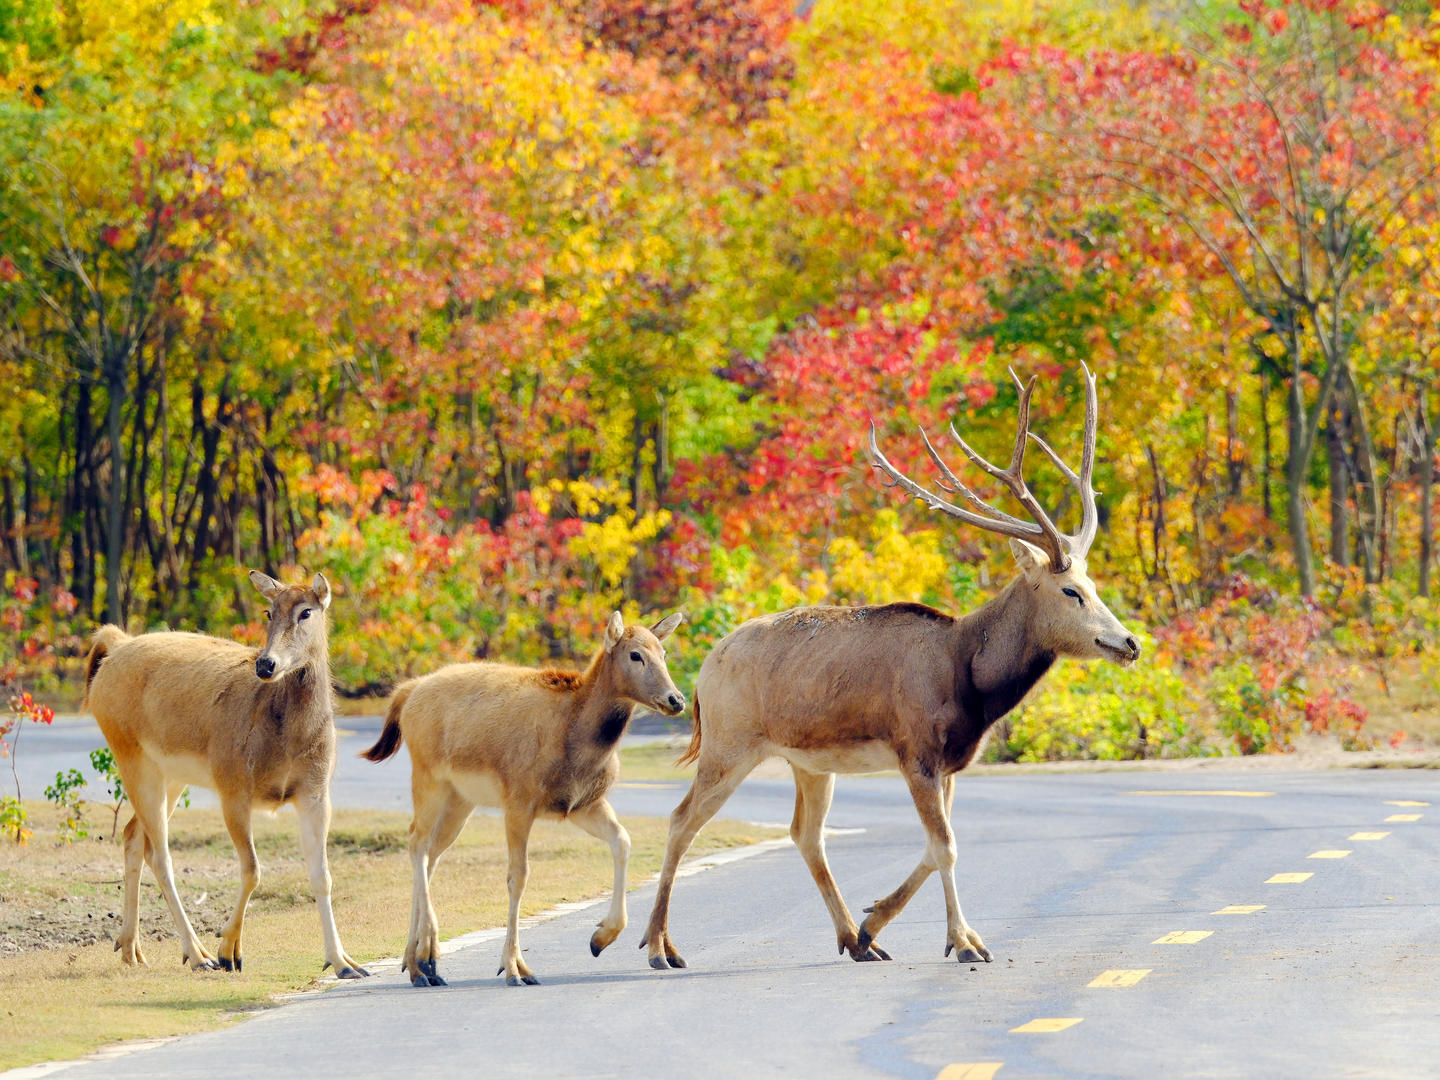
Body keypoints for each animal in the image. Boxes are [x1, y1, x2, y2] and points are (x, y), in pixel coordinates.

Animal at [82, 576, 371, 979]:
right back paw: (197, 954)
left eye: (306, 611)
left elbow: (322, 875)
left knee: (132, 835)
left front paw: (344, 962)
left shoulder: (315, 792)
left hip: (171, 774)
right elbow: (252, 870)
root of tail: (114, 644)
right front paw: (228, 951)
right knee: (161, 853)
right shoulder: (232, 784)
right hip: (132, 755)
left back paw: (131, 950)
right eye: (269, 610)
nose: (266, 664)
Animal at [368, 610, 688, 990]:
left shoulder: (582, 804)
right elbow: (517, 876)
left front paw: (601, 937)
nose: (676, 699)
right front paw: (514, 968)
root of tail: (407, 692)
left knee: (430, 854)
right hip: (429, 778)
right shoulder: (519, 800)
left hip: (460, 800)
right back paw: (426, 957)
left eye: (664, 653)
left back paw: (417, 963)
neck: (577, 739)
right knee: (416, 842)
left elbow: (622, 841)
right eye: (635, 655)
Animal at [648, 371, 1140, 973]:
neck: (971, 685)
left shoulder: (950, 764)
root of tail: (700, 675)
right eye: (1071, 590)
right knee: (681, 820)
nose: (1129, 643)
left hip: (808, 761)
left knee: (805, 833)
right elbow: (946, 845)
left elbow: (937, 845)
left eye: (1093, 585)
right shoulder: (916, 751)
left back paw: (855, 940)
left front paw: (880, 922)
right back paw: (657, 947)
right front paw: (966, 943)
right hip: (729, 742)